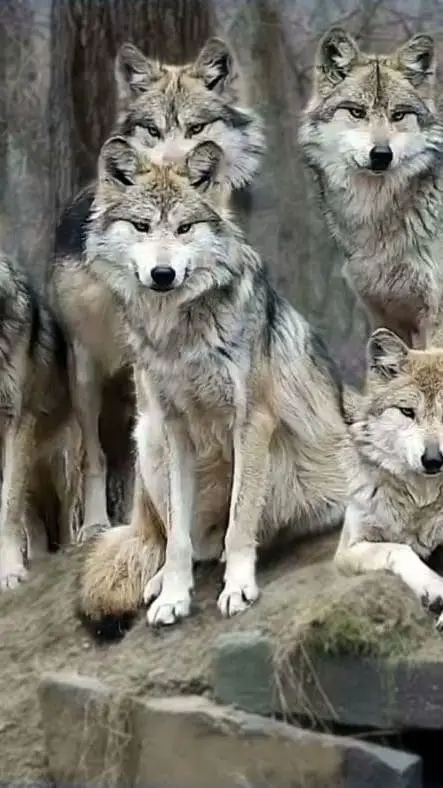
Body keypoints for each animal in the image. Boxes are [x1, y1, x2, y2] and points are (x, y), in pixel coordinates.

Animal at [51, 36, 266, 541]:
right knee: (94, 451)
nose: (169, 173)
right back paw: (95, 524)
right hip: (85, 373)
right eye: (151, 129)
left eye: (195, 128)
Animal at [75, 135, 352, 637]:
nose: (163, 275)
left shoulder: (251, 422)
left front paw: (238, 587)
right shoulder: (175, 429)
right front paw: (173, 597)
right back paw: (158, 582)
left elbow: (240, 521)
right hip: (148, 437)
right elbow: (180, 540)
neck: (179, 337)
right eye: (143, 227)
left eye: (185, 228)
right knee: (172, 538)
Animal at [335, 327, 443, 629]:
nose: (434, 460)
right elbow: (398, 549)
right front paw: (433, 587)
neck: (420, 497)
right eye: (407, 412)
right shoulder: (348, 549)